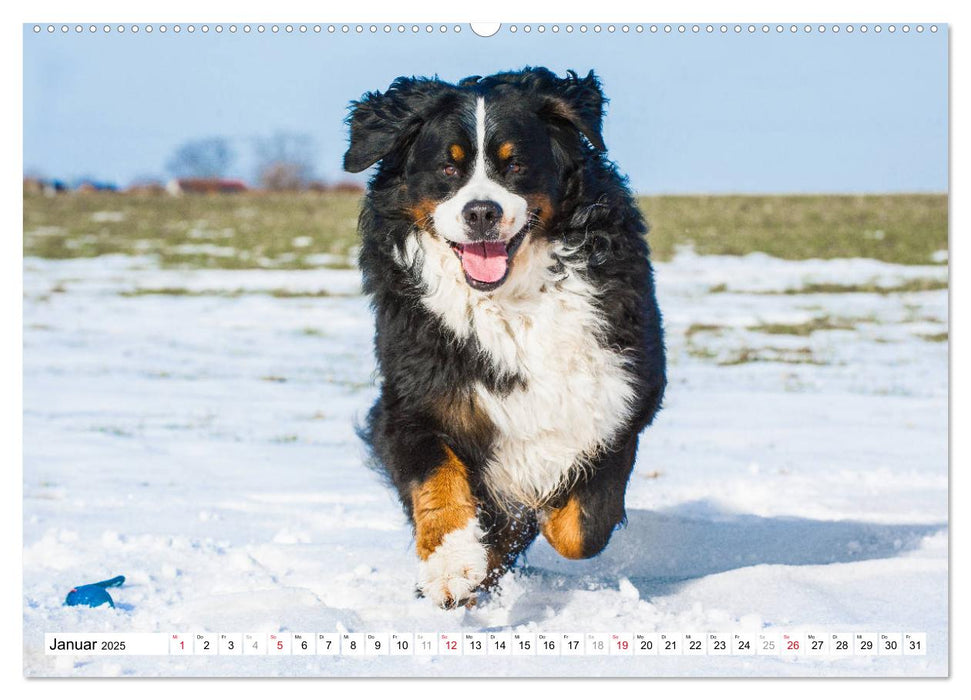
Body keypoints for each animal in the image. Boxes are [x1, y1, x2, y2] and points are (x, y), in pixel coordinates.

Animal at [344, 68, 668, 608]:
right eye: (448, 168)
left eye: (515, 163)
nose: (481, 212)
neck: (512, 302)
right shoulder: (415, 400)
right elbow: (439, 483)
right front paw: (452, 565)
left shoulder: (622, 395)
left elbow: (582, 525)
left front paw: (533, 516)